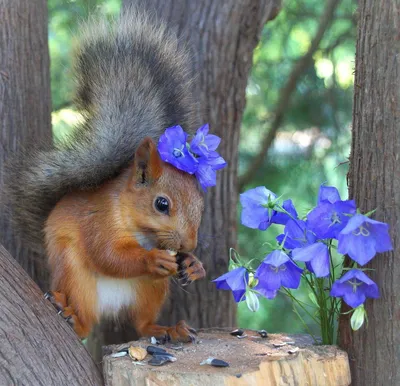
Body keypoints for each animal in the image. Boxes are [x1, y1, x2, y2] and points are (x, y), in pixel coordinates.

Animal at [5, 8, 206, 340]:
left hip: (151, 289)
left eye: (201, 206)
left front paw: (193, 265)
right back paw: (72, 317)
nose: (189, 246)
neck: (139, 227)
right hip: (74, 276)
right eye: (161, 204)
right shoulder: (98, 221)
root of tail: (112, 306)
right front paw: (152, 258)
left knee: (142, 324)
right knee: (86, 321)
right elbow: (108, 255)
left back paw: (167, 328)